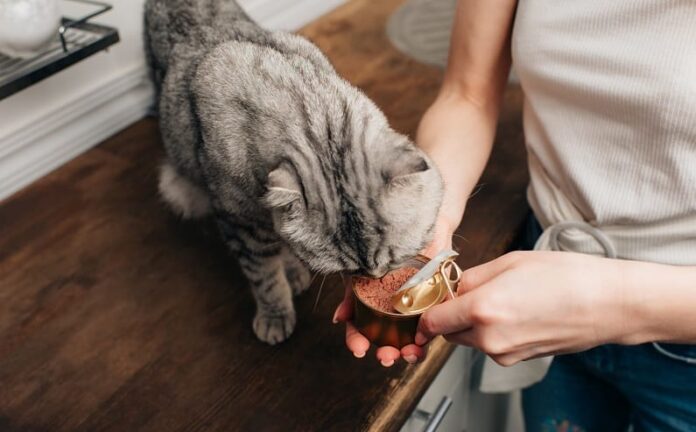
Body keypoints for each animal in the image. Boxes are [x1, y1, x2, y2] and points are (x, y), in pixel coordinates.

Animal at [144, 0, 444, 344]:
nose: (375, 277)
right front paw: (275, 312)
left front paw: (292, 270)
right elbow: (264, 276)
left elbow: (284, 245)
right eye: (349, 269)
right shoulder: (242, 225)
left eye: (392, 259)